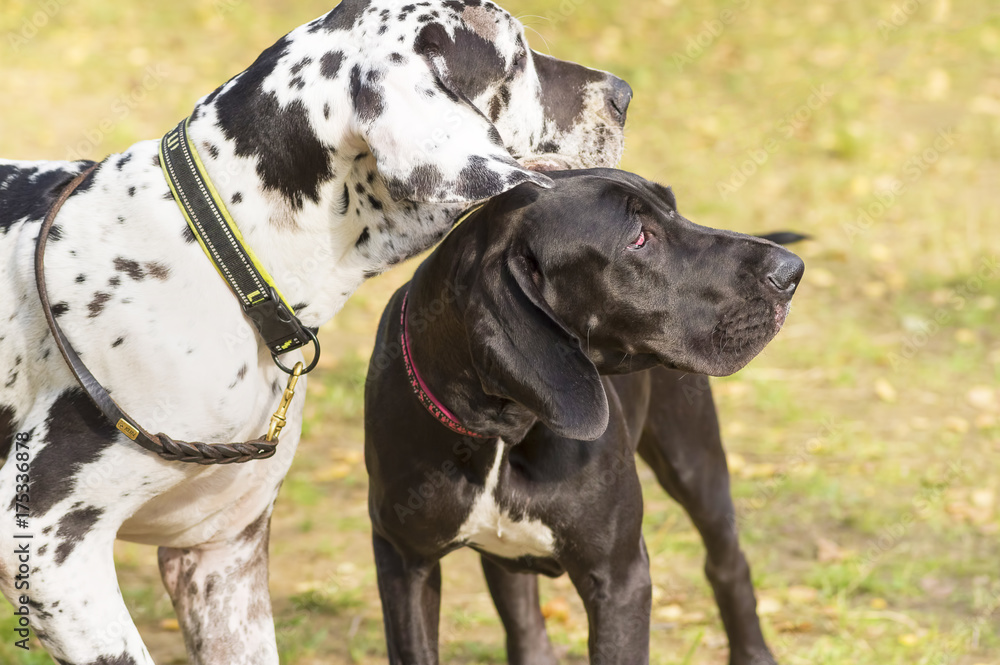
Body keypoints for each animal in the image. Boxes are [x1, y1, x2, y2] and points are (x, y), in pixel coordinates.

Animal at [364, 169, 800, 660]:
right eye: (639, 238)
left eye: (673, 206)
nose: (792, 271)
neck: (499, 429)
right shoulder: (404, 561)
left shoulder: (619, 577)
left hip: (694, 462)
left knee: (728, 562)